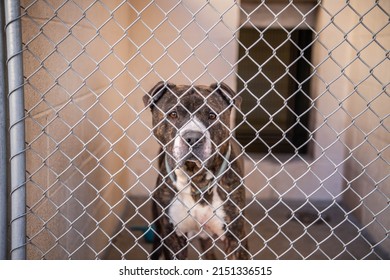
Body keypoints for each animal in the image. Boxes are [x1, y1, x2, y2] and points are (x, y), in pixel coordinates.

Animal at [143, 81, 250, 260]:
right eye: (173, 114)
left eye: (212, 116)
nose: (193, 137)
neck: (195, 178)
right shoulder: (173, 239)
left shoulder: (235, 239)